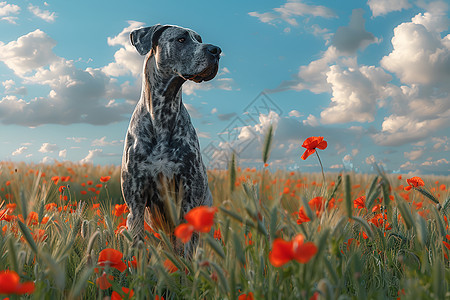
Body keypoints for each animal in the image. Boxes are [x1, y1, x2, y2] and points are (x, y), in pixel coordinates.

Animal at [120, 24, 221, 253]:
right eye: (181, 39)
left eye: (199, 39)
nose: (216, 50)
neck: (162, 113)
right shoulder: (136, 201)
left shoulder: (189, 195)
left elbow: (187, 252)